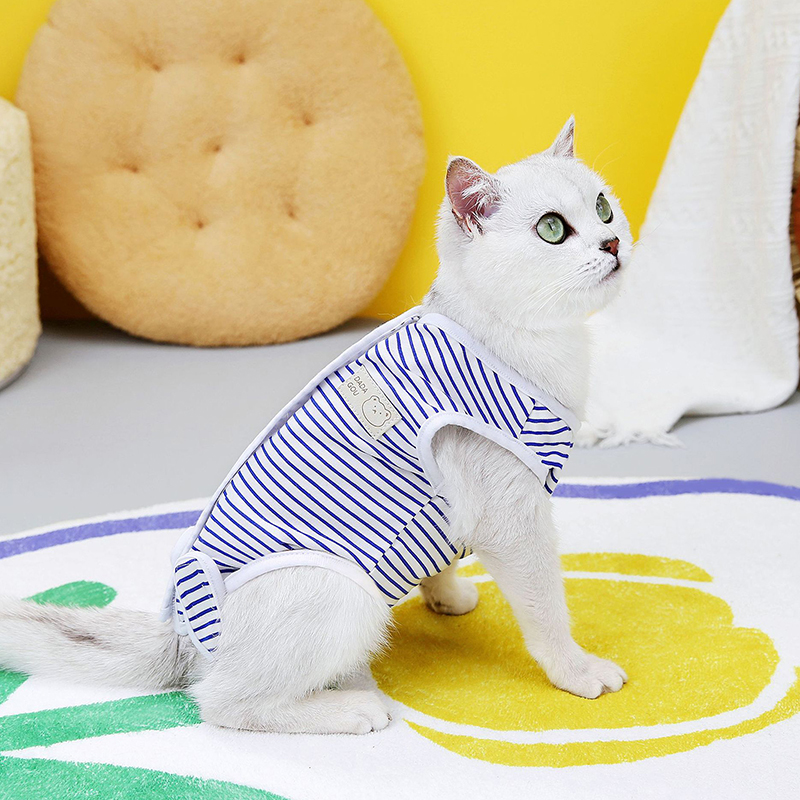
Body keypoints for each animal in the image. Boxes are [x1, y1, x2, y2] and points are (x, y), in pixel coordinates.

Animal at [0, 118, 632, 734]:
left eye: (603, 207)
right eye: (552, 229)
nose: (613, 242)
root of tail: (178, 636)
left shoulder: (456, 508)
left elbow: (444, 553)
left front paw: (446, 594)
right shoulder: (512, 517)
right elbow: (547, 609)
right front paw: (576, 671)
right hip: (343, 594)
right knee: (222, 703)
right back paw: (353, 710)